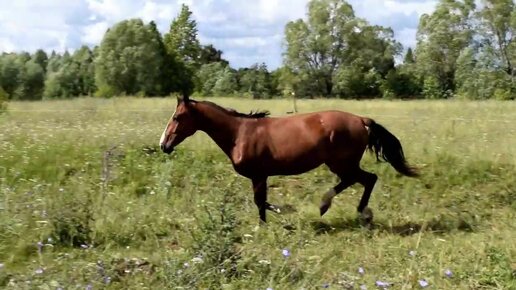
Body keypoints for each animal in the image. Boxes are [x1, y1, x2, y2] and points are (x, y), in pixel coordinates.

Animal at [158, 95, 420, 224]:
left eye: (178, 117)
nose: (164, 145)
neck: (239, 134)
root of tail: (361, 119)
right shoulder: (261, 176)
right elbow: (261, 202)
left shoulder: (258, 175)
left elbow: (260, 202)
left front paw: (275, 218)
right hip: (341, 164)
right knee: (357, 181)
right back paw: (331, 207)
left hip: (342, 163)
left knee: (368, 179)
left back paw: (355, 211)